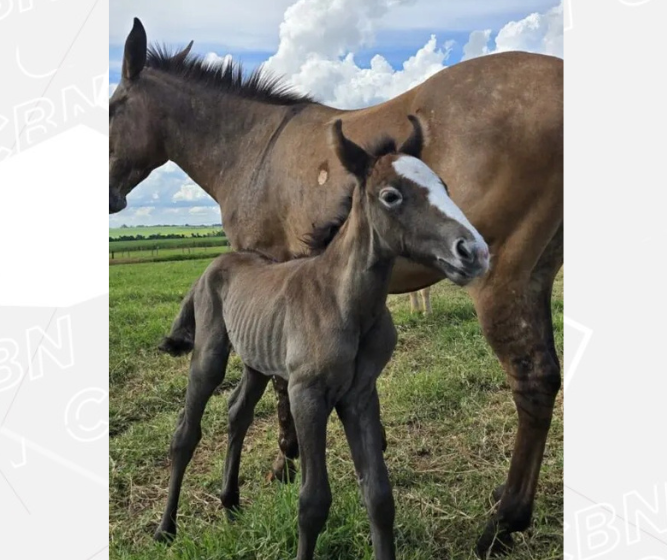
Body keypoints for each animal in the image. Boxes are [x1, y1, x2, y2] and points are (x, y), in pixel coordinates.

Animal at [155, 116, 490, 556]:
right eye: (391, 196)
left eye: (444, 186)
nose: (475, 251)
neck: (344, 302)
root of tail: (213, 265)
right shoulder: (307, 395)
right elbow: (313, 502)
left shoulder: (360, 395)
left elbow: (379, 496)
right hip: (210, 353)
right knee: (185, 431)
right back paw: (165, 528)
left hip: (257, 360)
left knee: (237, 412)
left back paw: (230, 503)